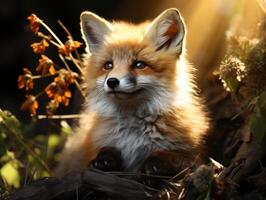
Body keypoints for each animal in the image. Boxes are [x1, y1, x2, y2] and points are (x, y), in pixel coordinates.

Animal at [55, 7, 210, 177]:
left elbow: (171, 157)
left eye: (139, 64)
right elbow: (106, 151)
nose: (112, 82)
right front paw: (105, 159)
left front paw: (155, 165)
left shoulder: (193, 156)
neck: (133, 132)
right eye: (108, 65)